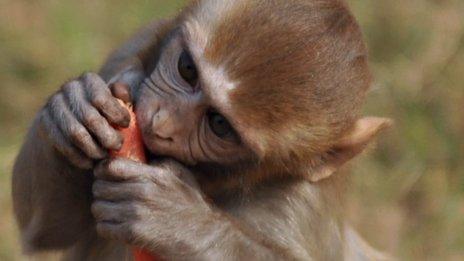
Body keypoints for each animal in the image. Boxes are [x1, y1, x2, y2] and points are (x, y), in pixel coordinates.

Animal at [12, 0, 392, 258]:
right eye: (186, 69)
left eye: (219, 124)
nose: (159, 122)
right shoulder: (127, 56)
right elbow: (47, 231)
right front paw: (73, 109)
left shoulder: (299, 200)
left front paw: (180, 221)